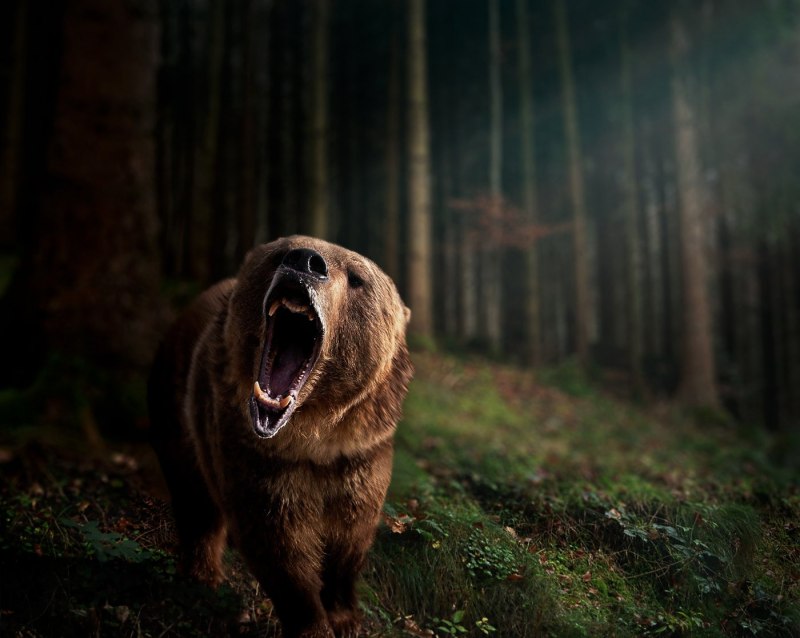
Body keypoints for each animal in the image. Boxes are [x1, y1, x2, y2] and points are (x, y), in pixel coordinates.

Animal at [147, 236, 413, 638]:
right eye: (281, 252)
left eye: (357, 278)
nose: (305, 262)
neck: (313, 437)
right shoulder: (258, 459)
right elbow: (279, 548)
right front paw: (313, 624)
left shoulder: (361, 455)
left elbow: (349, 541)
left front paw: (345, 617)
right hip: (178, 407)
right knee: (195, 499)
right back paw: (203, 576)